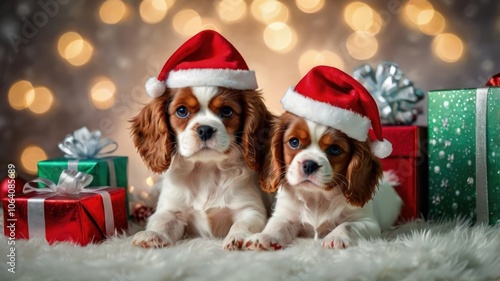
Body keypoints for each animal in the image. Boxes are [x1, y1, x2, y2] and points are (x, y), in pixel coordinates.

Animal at [131, 30, 274, 249]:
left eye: (226, 111)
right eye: (182, 111)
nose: (205, 129)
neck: (206, 169)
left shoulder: (251, 209)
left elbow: (243, 223)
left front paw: (239, 238)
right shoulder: (171, 208)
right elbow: (161, 220)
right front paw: (152, 235)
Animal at [242, 65, 402, 249]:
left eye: (334, 149)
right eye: (294, 142)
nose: (309, 165)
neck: (316, 197)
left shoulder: (367, 221)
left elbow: (347, 225)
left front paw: (336, 238)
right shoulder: (285, 215)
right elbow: (276, 226)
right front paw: (263, 237)